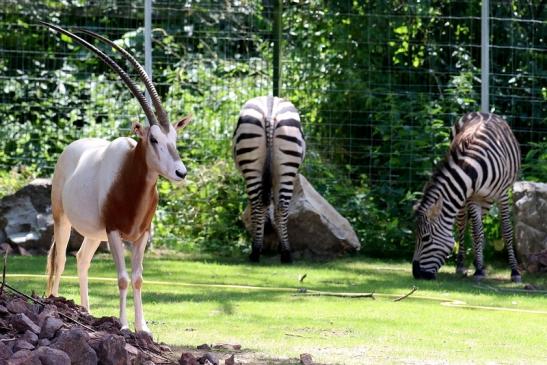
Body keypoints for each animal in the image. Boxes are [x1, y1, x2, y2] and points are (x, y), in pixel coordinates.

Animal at [233, 96, 306, 262]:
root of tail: (269, 112)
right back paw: (285, 253)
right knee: (281, 207)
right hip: (286, 167)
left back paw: (255, 252)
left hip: (253, 167)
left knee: (258, 205)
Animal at [416, 111, 524, 282]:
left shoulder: (502, 194)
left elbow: (506, 231)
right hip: (468, 198)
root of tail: (481, 112)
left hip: (487, 199)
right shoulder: (472, 196)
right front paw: (478, 270)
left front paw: (514, 271)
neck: (473, 164)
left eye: (426, 238)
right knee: (463, 224)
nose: (416, 273)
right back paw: (462, 265)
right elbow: (477, 232)